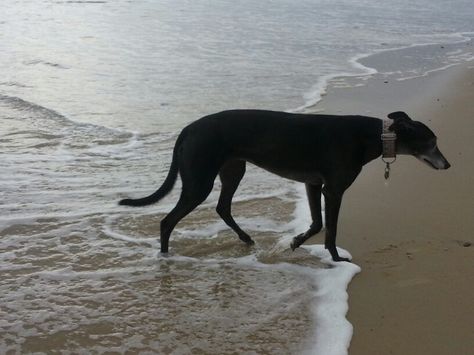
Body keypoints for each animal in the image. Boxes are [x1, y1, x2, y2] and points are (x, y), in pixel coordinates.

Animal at [119, 110, 452, 262]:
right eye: (432, 141)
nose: (448, 165)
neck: (372, 135)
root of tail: (188, 128)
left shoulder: (313, 184)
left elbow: (317, 223)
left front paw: (294, 242)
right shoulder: (333, 189)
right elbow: (330, 228)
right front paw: (336, 258)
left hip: (232, 169)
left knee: (222, 207)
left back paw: (245, 238)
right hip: (199, 180)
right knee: (167, 221)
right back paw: (165, 257)